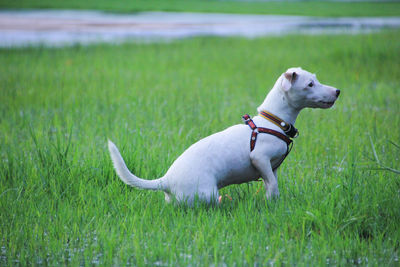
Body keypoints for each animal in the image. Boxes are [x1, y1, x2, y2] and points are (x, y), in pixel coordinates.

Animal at [108, 67, 340, 205]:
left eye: (316, 79)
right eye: (310, 84)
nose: (337, 91)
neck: (273, 121)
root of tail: (166, 180)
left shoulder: (272, 167)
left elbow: (272, 184)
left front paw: (271, 202)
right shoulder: (259, 158)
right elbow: (272, 185)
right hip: (207, 193)